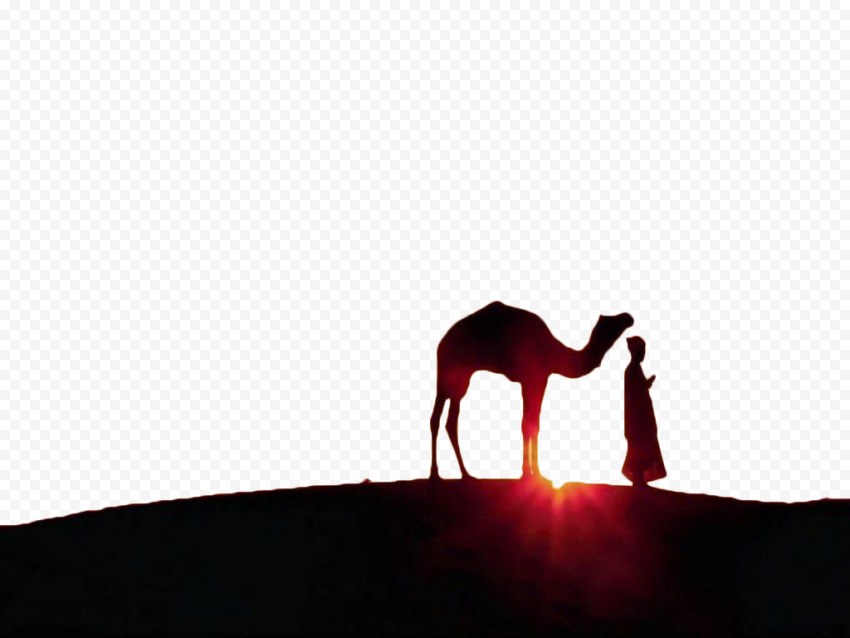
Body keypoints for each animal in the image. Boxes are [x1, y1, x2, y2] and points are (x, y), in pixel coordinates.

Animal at [430, 302, 634, 481]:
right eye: (612, 322)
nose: (628, 317)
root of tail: (442, 342)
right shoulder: (536, 378)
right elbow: (530, 424)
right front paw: (532, 474)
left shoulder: (531, 381)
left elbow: (529, 423)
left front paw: (531, 472)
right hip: (448, 370)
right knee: (436, 417)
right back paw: (435, 475)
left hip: (462, 378)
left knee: (451, 421)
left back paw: (465, 474)